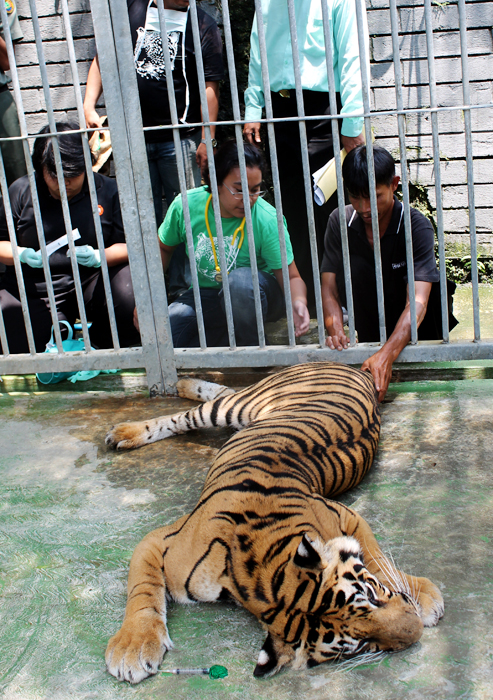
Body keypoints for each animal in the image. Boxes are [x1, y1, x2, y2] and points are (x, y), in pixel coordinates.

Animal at [103, 360, 442, 684]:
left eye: (372, 596)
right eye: (359, 645)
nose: (415, 631)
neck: (261, 564)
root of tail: (349, 367)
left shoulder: (345, 515)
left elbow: (377, 558)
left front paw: (422, 594)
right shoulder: (159, 541)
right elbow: (143, 592)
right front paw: (133, 647)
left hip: (242, 405)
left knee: (218, 395)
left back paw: (177, 389)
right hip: (237, 406)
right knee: (181, 418)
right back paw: (129, 430)